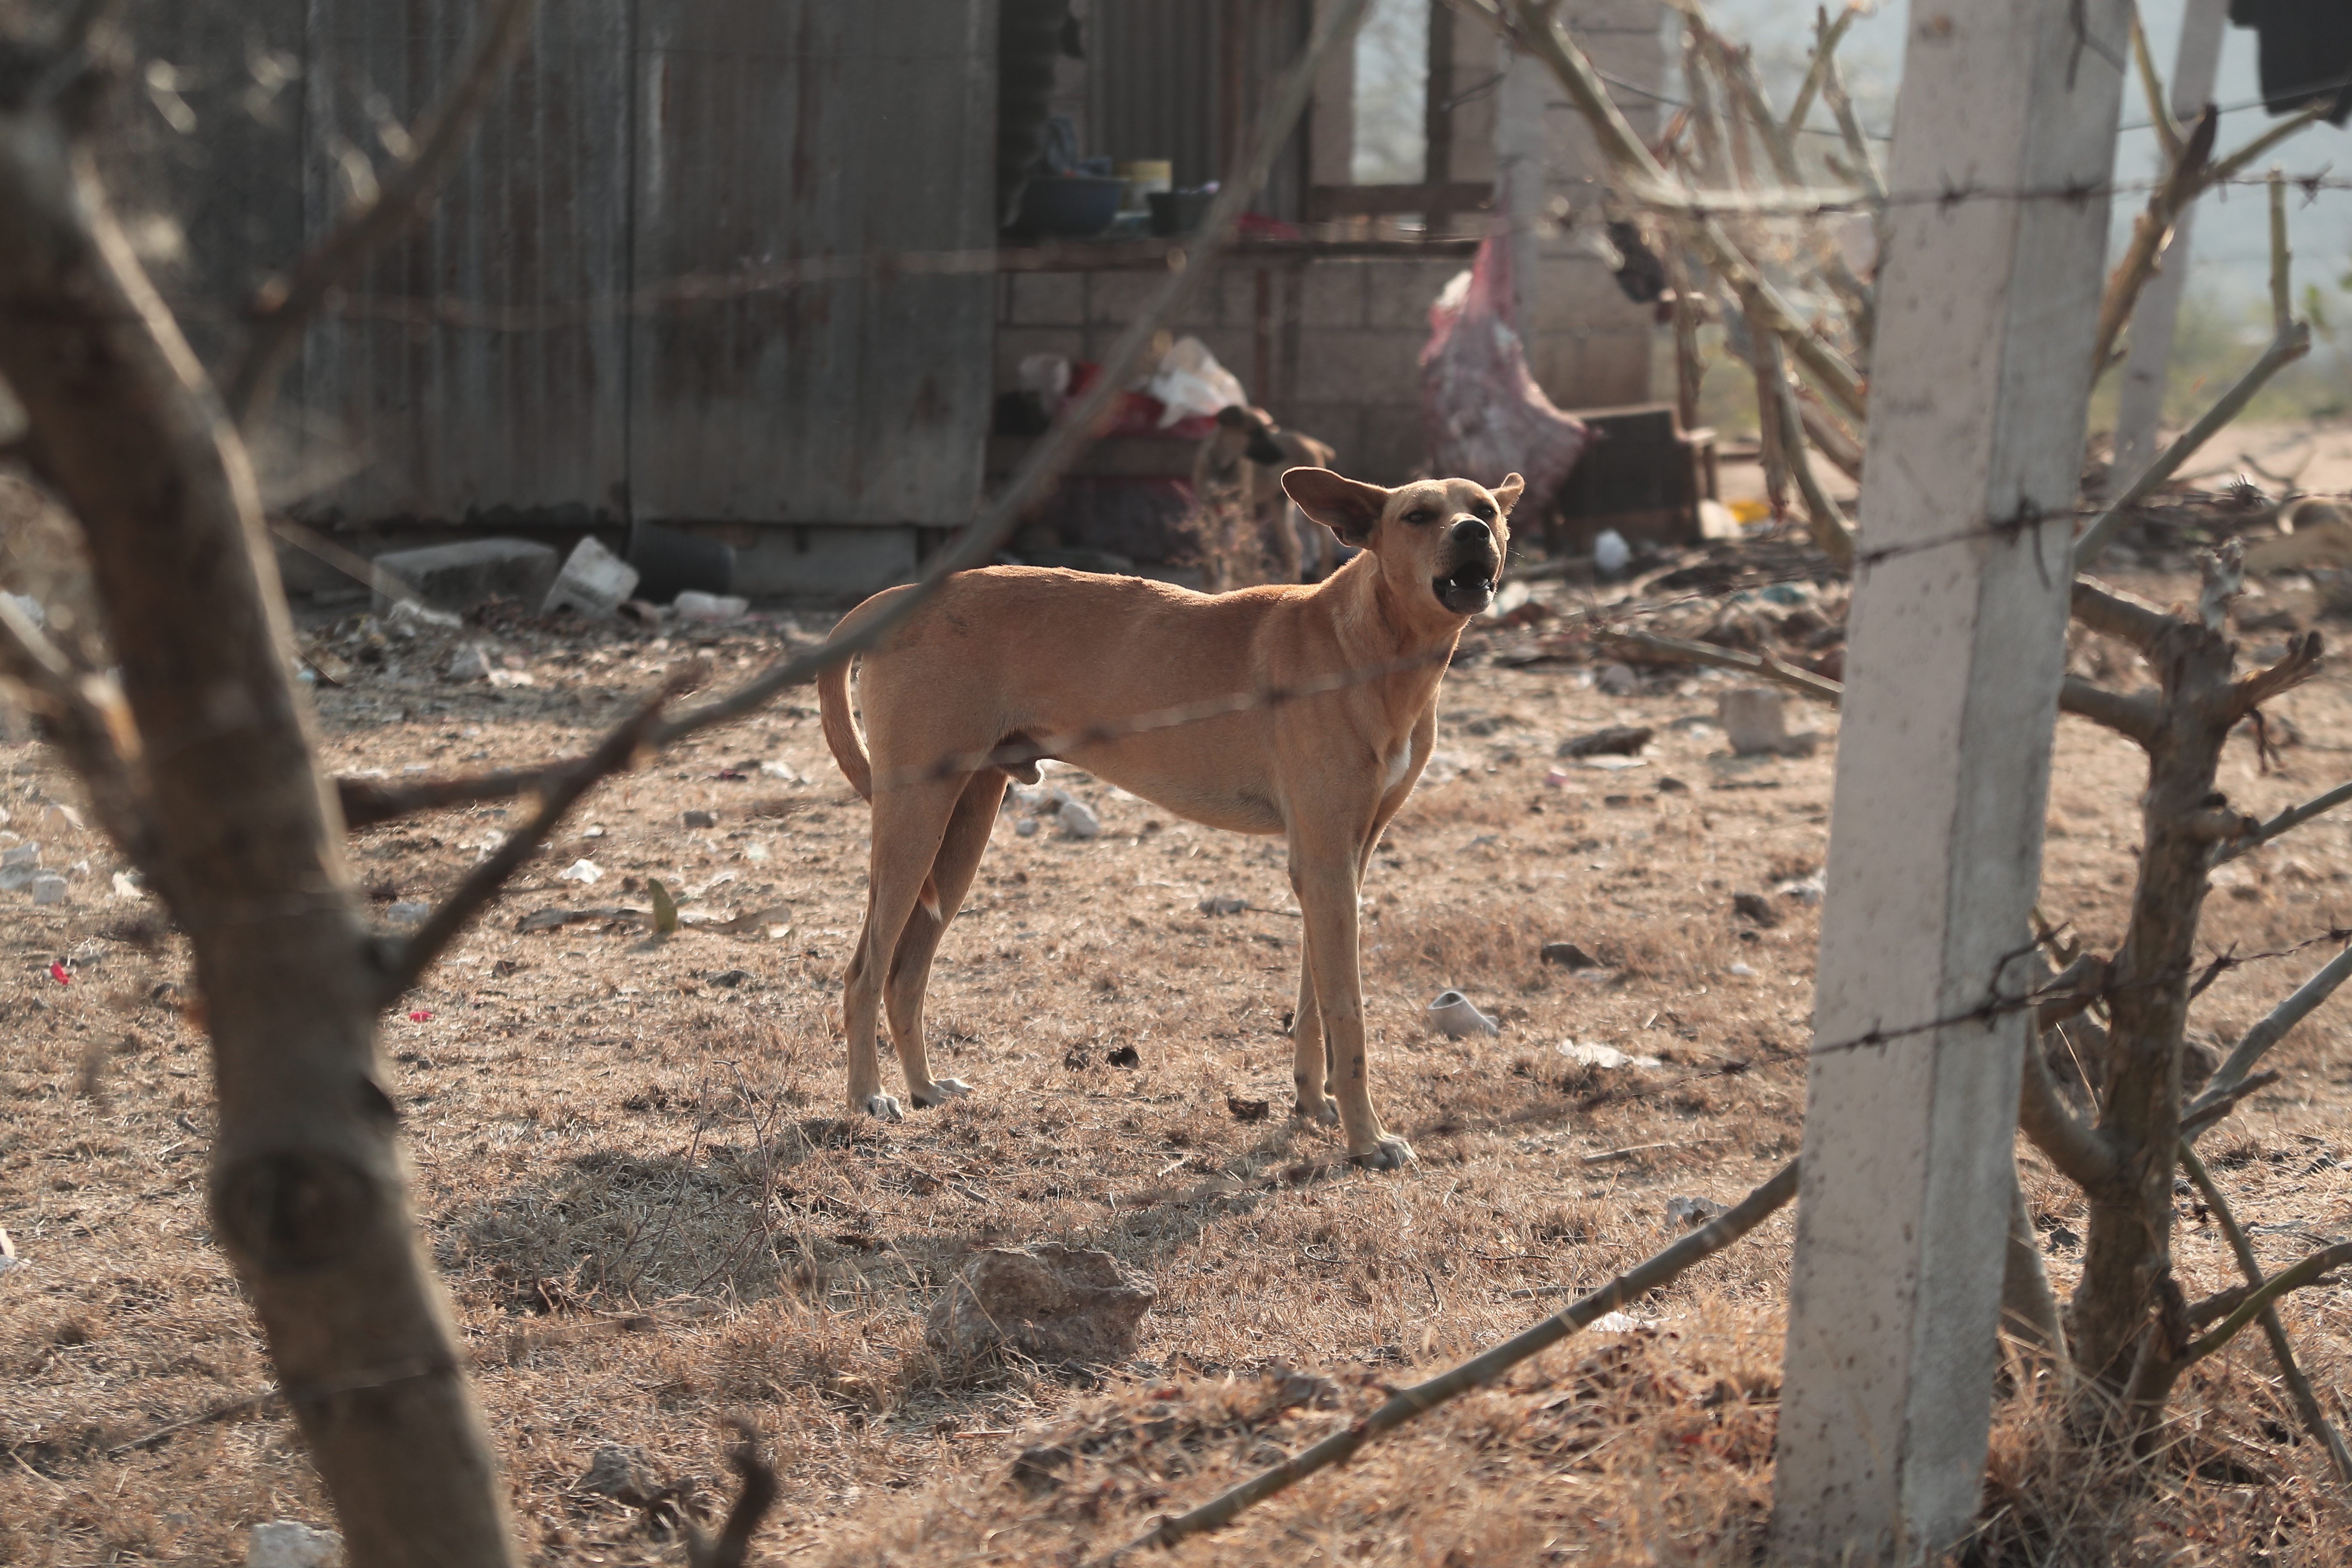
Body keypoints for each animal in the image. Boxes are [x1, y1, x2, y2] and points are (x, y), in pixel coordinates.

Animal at [818, 465, 1514, 1166]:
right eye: (1418, 517)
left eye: (1484, 508)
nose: (1474, 532)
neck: (1370, 647)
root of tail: (901, 595)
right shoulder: (1323, 863)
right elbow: (1348, 1010)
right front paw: (1366, 1139)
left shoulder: (1345, 861)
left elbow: (1314, 1001)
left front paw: (1315, 1107)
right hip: (913, 826)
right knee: (862, 973)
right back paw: (867, 1096)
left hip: (960, 835)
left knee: (905, 975)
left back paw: (924, 1087)